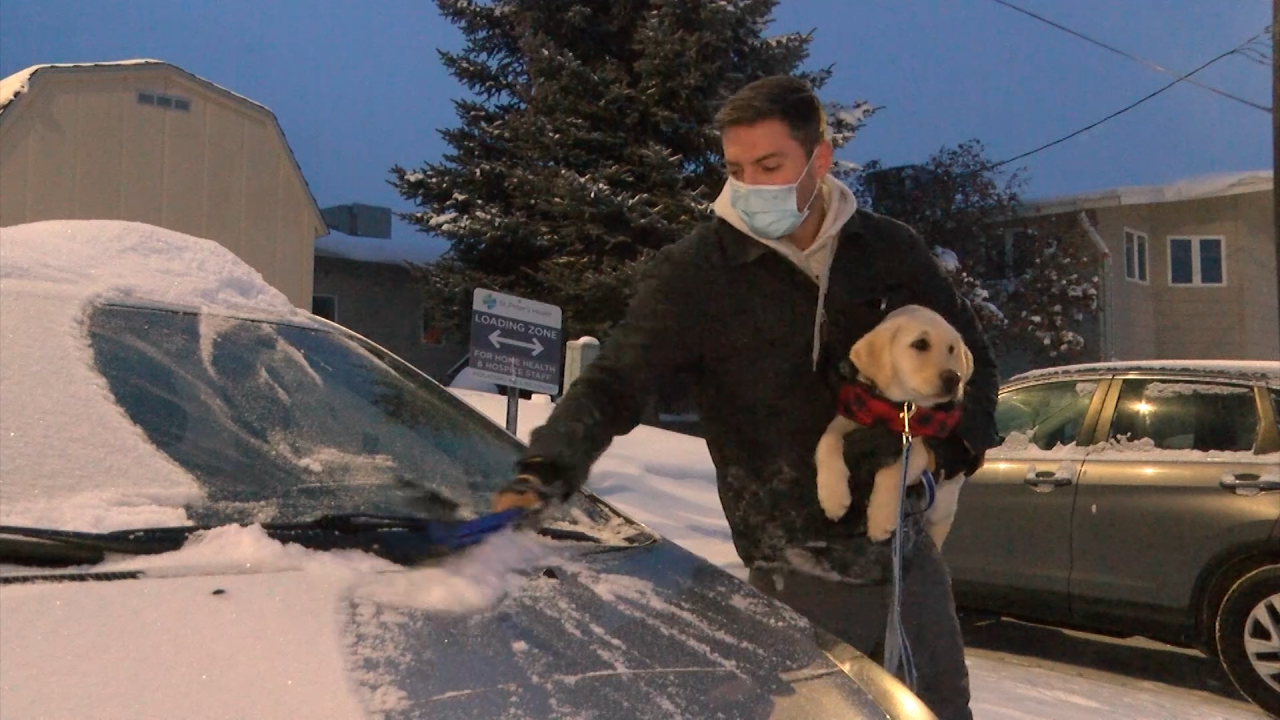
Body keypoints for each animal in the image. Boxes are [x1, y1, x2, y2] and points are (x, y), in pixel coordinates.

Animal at [814, 301, 972, 543]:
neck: (898, 408)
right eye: (920, 343)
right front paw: (833, 496)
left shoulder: (917, 447)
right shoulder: (850, 418)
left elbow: (894, 473)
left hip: (943, 509)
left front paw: (881, 519)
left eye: (951, 349)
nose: (954, 379)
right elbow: (828, 441)